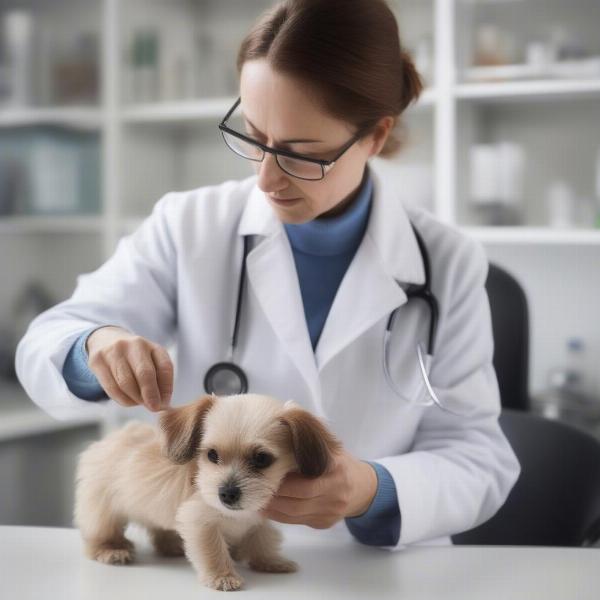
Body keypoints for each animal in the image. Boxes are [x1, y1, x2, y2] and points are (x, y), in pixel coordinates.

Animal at [74, 392, 342, 592]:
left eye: (261, 459)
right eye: (212, 455)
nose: (227, 494)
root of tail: (111, 439)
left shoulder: (260, 520)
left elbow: (262, 539)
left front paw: (270, 562)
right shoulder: (199, 521)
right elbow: (213, 549)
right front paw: (222, 576)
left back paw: (171, 545)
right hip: (102, 509)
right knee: (100, 532)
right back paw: (111, 549)